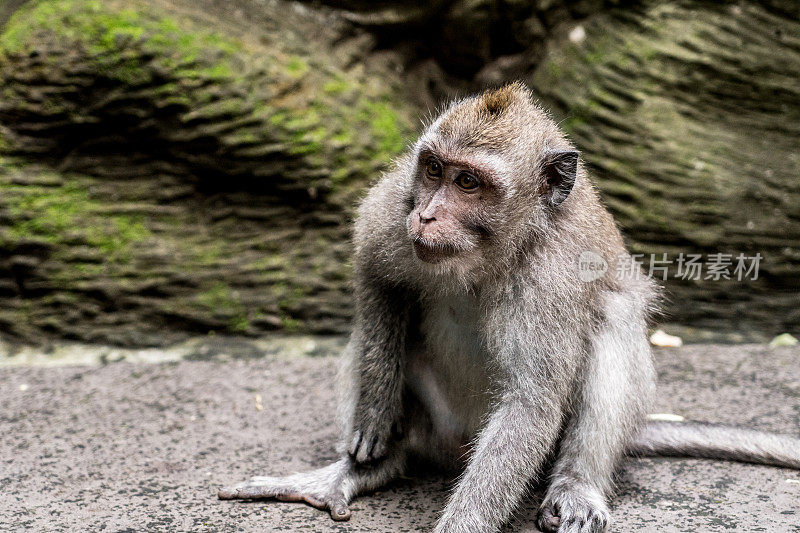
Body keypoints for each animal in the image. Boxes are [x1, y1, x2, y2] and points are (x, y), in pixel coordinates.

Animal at [217, 81, 800, 528]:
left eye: (468, 182)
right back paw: (363, 470)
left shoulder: (553, 276)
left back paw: (577, 485)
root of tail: (448, 446)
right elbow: (375, 270)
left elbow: (531, 402)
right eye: (434, 170)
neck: (488, 254)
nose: (426, 216)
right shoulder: (396, 206)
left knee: (611, 316)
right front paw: (376, 411)